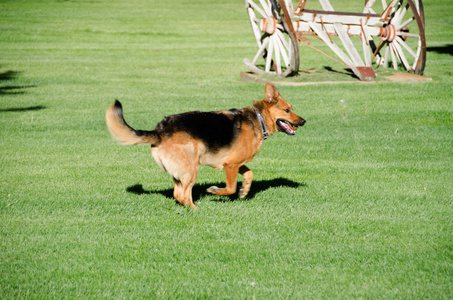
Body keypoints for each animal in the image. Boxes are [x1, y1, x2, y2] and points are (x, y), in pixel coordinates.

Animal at [105, 82, 304, 209]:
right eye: (287, 110)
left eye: (292, 108)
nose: (303, 121)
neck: (259, 119)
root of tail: (159, 131)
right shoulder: (230, 164)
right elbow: (230, 188)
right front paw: (216, 191)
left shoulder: (234, 163)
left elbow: (249, 174)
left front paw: (244, 190)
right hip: (192, 167)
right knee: (183, 194)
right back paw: (195, 209)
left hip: (181, 171)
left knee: (178, 194)